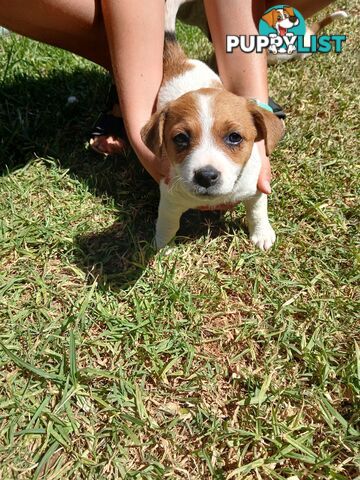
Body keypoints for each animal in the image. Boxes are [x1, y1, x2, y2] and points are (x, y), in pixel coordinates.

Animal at [141, 1, 284, 251]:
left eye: (234, 137)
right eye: (180, 138)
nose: (206, 176)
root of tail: (180, 61)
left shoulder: (256, 187)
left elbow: (257, 210)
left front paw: (262, 233)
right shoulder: (169, 198)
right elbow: (167, 223)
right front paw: (163, 245)